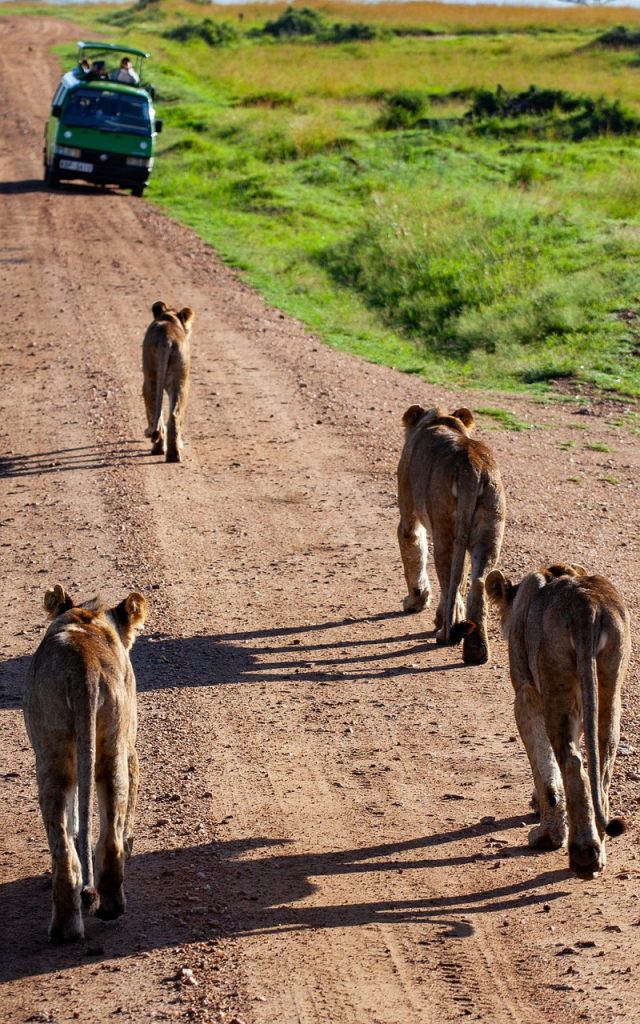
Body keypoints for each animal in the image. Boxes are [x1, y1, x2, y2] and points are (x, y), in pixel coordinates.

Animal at [23, 584, 148, 942]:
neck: (87, 617)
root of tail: (84, 669)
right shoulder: (129, 744)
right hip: (113, 745)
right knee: (110, 834)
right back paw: (109, 906)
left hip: (52, 751)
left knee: (63, 847)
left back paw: (67, 927)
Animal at [142, 300, 195, 463]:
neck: (169, 318)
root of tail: (167, 338)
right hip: (180, 379)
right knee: (174, 415)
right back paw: (173, 455)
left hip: (152, 378)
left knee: (156, 412)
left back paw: (158, 448)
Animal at [397, 405, 506, 664]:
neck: (439, 420)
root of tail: (471, 468)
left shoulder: (408, 513)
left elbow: (412, 549)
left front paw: (414, 602)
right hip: (489, 526)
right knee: (477, 583)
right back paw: (476, 651)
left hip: (444, 527)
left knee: (449, 583)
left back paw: (445, 633)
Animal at [486, 563, 631, 877]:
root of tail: (587, 606)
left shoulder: (526, 691)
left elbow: (543, 764)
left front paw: (547, 832)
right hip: (610, 678)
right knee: (603, 760)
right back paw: (598, 847)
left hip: (555, 676)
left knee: (572, 763)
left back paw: (582, 854)